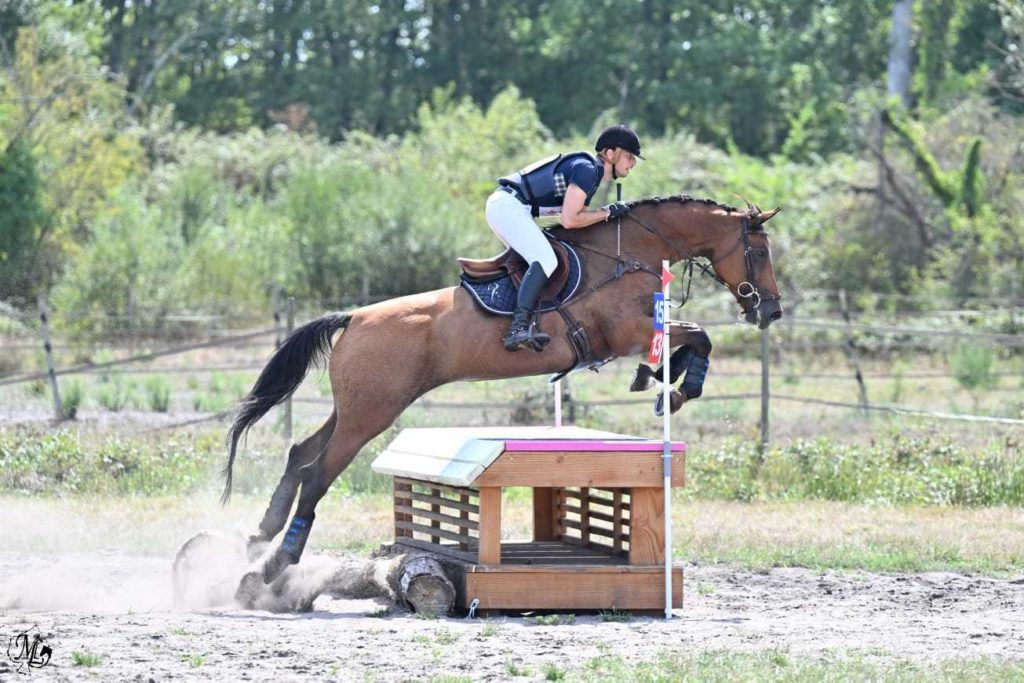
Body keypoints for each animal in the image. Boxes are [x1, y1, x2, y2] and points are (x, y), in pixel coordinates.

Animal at [226, 193, 782, 593]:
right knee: (317, 473)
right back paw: (270, 568)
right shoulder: (626, 332)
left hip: (356, 410)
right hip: (370, 415)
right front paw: (676, 388)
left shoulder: (643, 331)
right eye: (759, 252)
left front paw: (663, 382)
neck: (630, 255)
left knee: (300, 455)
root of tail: (353, 318)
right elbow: (698, 336)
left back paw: (258, 539)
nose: (771, 311)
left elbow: (690, 341)